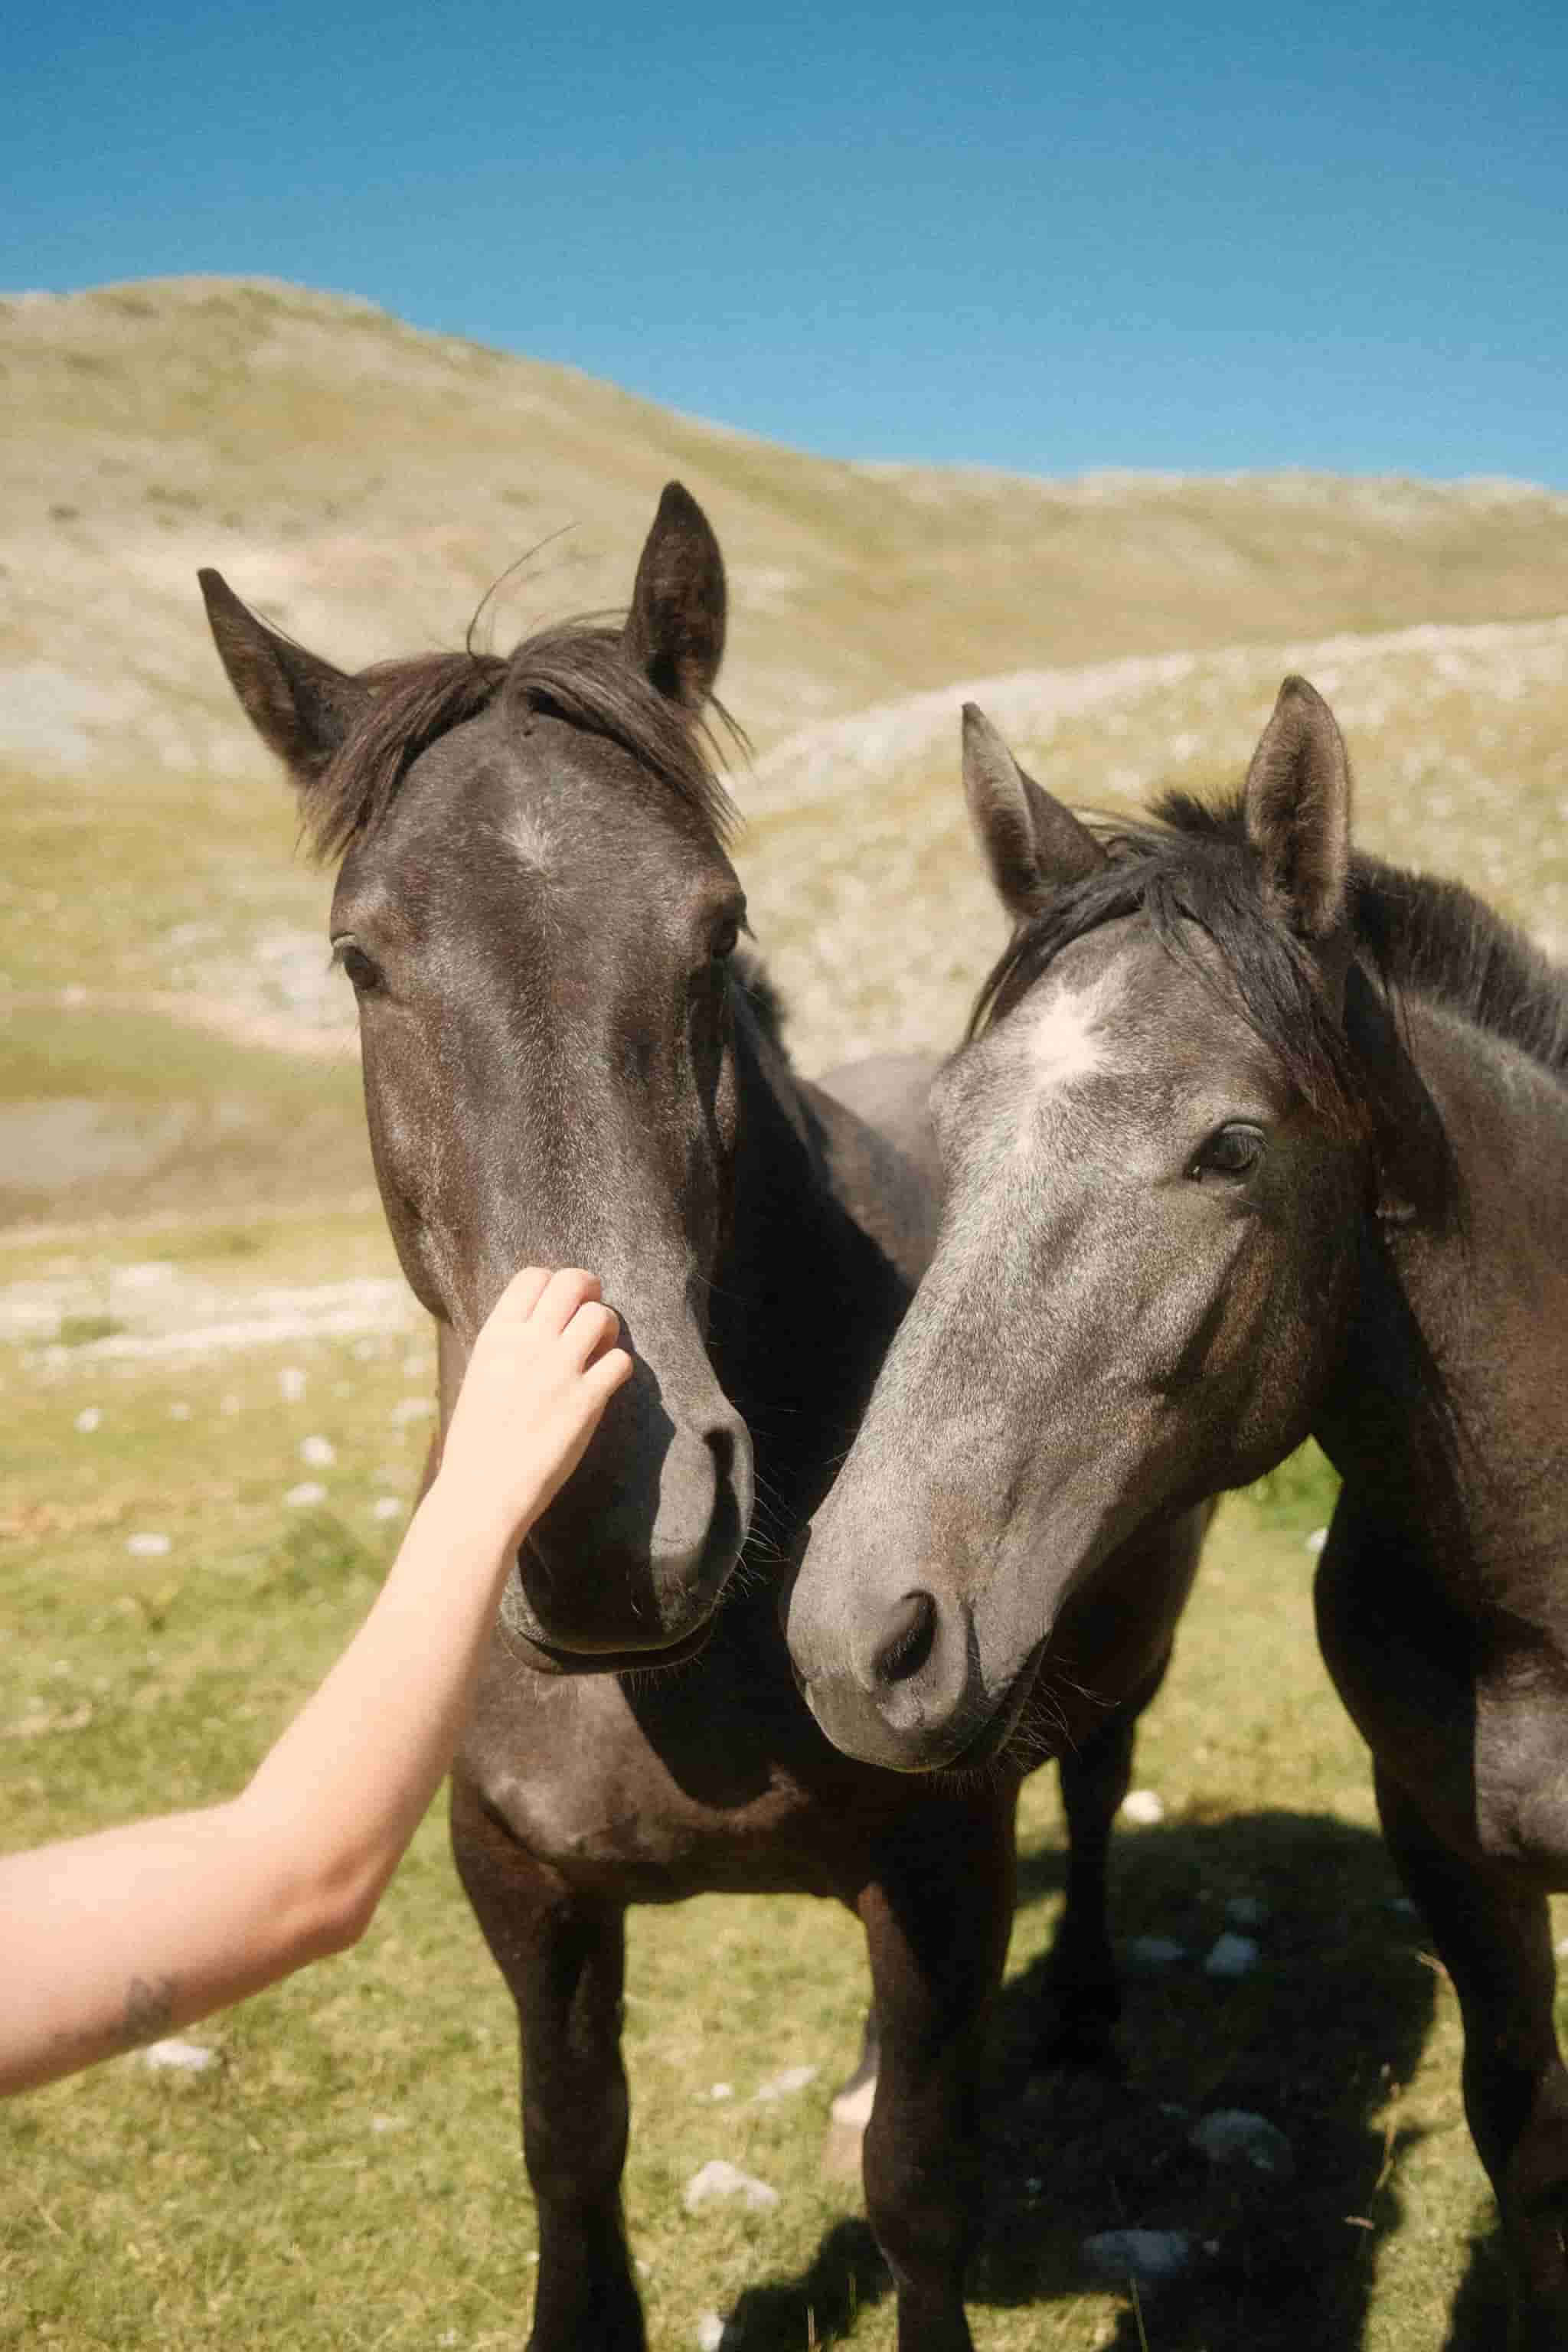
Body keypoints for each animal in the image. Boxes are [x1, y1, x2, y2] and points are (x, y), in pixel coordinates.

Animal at [199, 484, 1205, 2352]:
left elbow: (921, 2190)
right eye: (361, 958)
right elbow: (569, 2140)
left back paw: (1086, 2010)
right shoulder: (524, 1884)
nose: (612, 1525)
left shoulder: (945, 1857)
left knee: (1100, 1797)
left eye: (716, 930)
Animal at [784, 677, 1568, 2344]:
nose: (858, 1640)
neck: (1533, 1605)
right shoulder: (1447, 1850)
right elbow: (1525, 2135)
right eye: (955, 1123)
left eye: (1230, 1146)